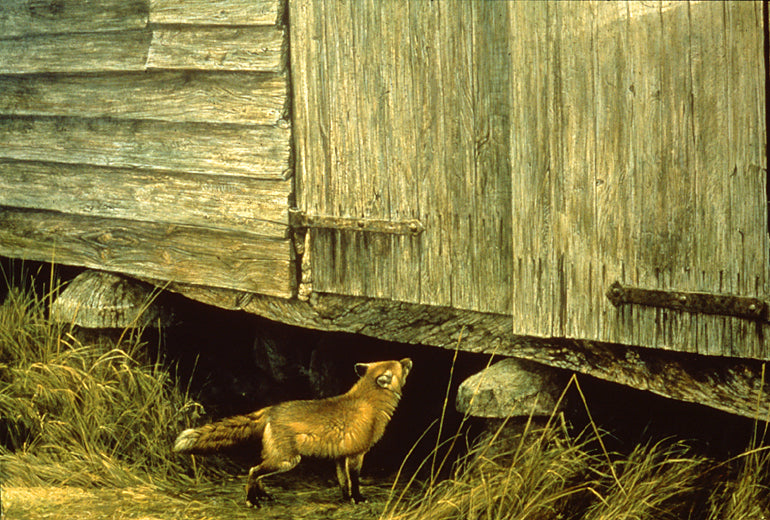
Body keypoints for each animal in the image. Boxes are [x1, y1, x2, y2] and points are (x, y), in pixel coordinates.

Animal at [173, 358, 412, 506]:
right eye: (401, 366)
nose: (409, 358)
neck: (369, 402)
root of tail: (271, 409)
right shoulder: (356, 455)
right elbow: (354, 481)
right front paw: (358, 499)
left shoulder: (340, 456)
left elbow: (343, 481)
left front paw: (346, 499)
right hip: (287, 460)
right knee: (252, 471)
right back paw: (252, 501)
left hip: (276, 457)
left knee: (256, 470)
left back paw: (264, 496)